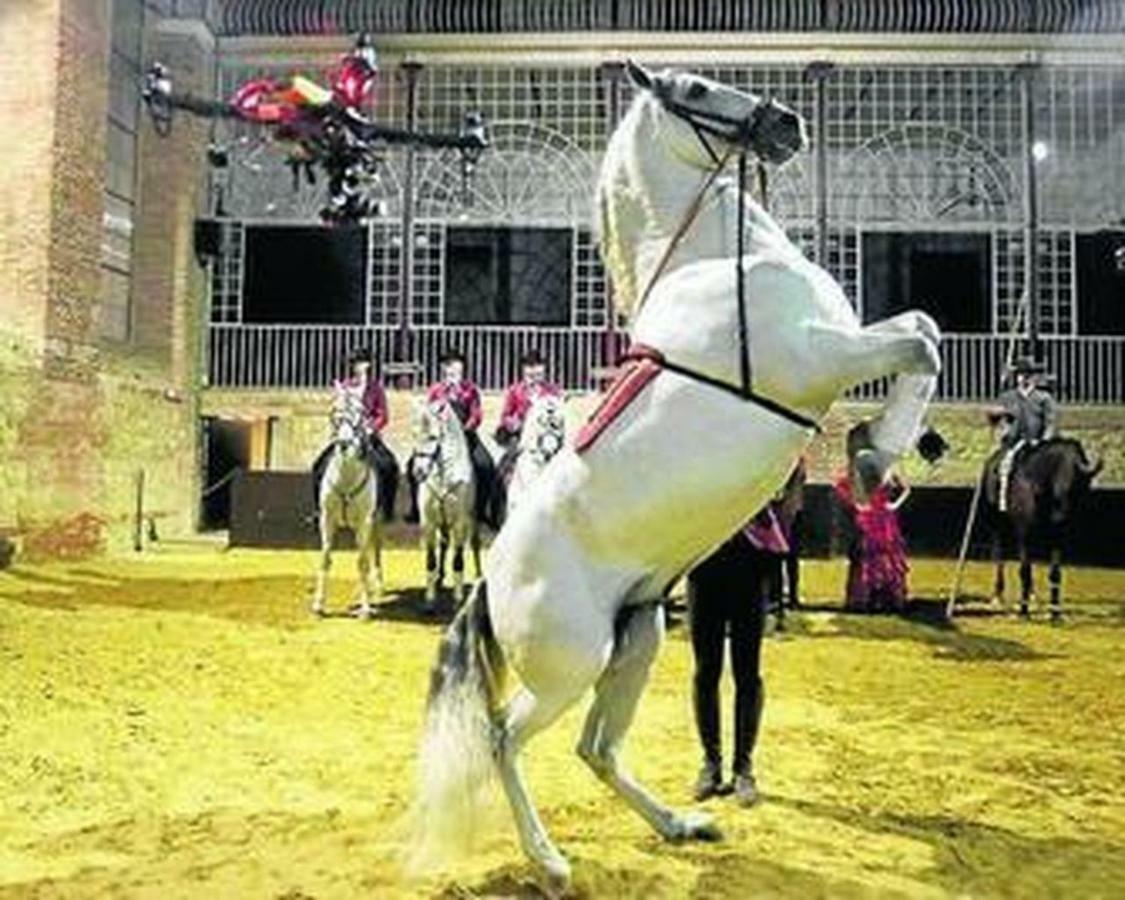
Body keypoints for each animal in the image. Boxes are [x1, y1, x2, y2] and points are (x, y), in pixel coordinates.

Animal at [312, 387, 382, 621]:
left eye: (361, 412)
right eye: (335, 410)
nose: (343, 444)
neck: (346, 476)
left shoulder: (365, 521)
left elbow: (362, 561)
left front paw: (366, 609)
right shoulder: (326, 519)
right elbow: (325, 559)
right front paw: (318, 605)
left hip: (376, 521)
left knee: (374, 551)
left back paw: (375, 589)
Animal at [414, 400, 479, 612]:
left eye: (433, 437)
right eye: (414, 434)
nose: (419, 472)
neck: (444, 477)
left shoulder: (460, 523)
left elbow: (458, 560)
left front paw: (458, 599)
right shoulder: (428, 522)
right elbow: (431, 560)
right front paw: (429, 600)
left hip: (472, 520)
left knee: (474, 544)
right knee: (443, 546)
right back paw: (439, 579)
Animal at [981, 438, 1102, 621]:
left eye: (1081, 487)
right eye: (1062, 486)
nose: (1064, 519)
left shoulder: (1057, 538)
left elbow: (1055, 573)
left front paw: (1055, 613)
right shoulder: (1024, 534)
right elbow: (1024, 570)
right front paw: (1023, 612)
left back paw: (1031, 597)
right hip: (996, 525)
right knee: (999, 556)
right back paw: (997, 596)